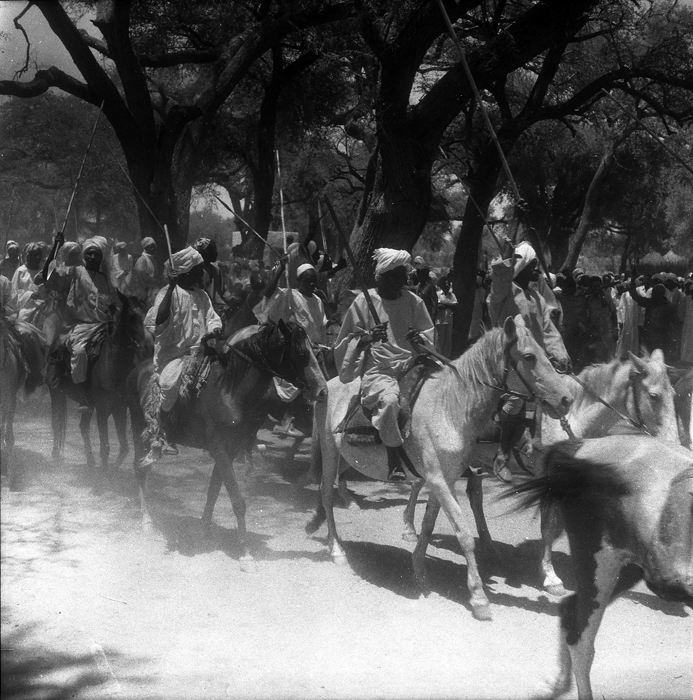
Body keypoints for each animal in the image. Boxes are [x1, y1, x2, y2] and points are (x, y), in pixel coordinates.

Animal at [126, 322, 328, 568]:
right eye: (301, 354)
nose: (323, 390)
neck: (230, 391)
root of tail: (137, 370)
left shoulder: (231, 449)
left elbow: (214, 490)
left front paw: (205, 529)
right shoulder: (219, 448)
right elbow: (237, 500)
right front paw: (245, 553)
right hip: (139, 429)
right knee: (140, 470)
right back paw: (147, 521)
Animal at [306, 316, 572, 616]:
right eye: (528, 356)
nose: (566, 399)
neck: (450, 408)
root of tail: (328, 385)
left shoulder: (445, 479)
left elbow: (428, 525)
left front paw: (419, 572)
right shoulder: (439, 480)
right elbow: (463, 533)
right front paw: (478, 596)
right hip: (330, 451)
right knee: (326, 495)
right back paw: (337, 550)